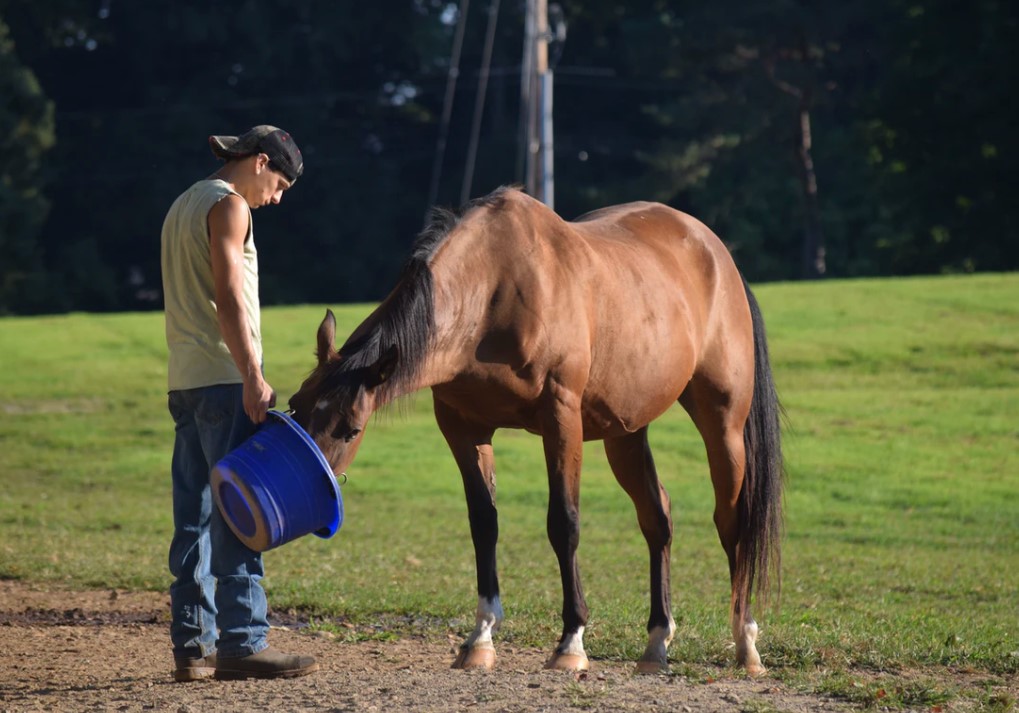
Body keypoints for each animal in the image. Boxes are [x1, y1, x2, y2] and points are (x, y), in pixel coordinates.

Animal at [291, 183, 782, 672]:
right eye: (296, 407)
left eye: (351, 429)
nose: (313, 486)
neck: (495, 289)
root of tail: (716, 253)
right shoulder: (463, 427)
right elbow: (483, 523)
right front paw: (481, 637)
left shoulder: (560, 417)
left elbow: (563, 523)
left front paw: (571, 642)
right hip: (625, 433)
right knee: (657, 518)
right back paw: (657, 642)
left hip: (723, 425)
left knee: (731, 522)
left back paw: (746, 642)